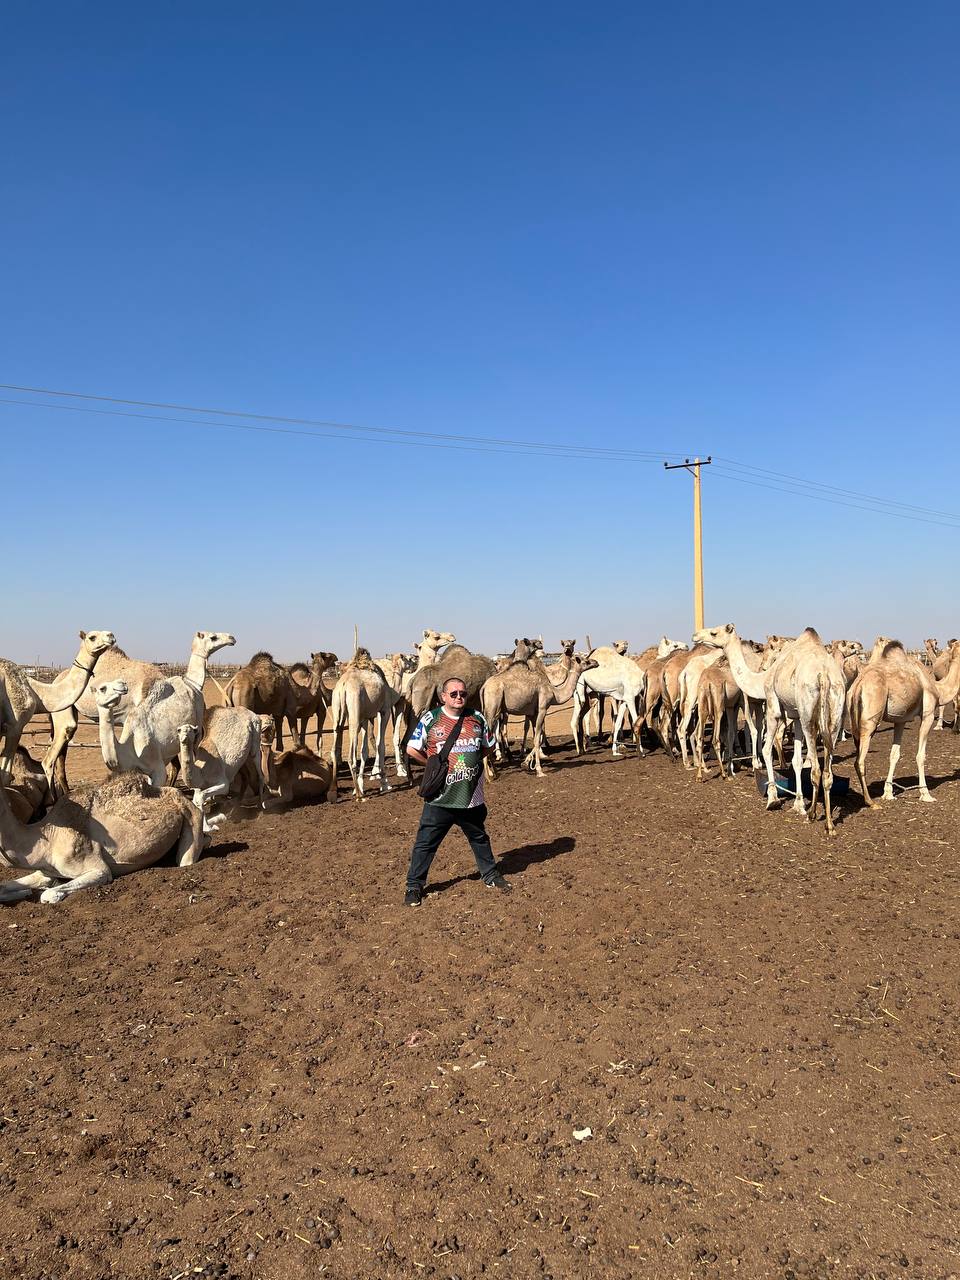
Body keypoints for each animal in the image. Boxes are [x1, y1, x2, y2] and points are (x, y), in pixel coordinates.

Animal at [696, 624, 844, 834]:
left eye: (714, 632)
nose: (696, 635)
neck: (763, 678)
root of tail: (824, 675)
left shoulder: (774, 706)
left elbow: (767, 749)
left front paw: (773, 798)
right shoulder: (795, 714)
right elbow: (796, 761)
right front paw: (798, 804)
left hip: (808, 713)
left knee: (816, 769)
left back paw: (815, 816)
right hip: (835, 712)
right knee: (827, 771)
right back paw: (829, 823)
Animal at [849, 637, 960, 803]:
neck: (938, 689)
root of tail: (858, 685)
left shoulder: (900, 720)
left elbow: (894, 754)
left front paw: (888, 793)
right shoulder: (927, 714)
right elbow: (921, 756)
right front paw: (925, 794)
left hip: (854, 722)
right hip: (870, 721)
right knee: (859, 761)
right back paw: (870, 801)